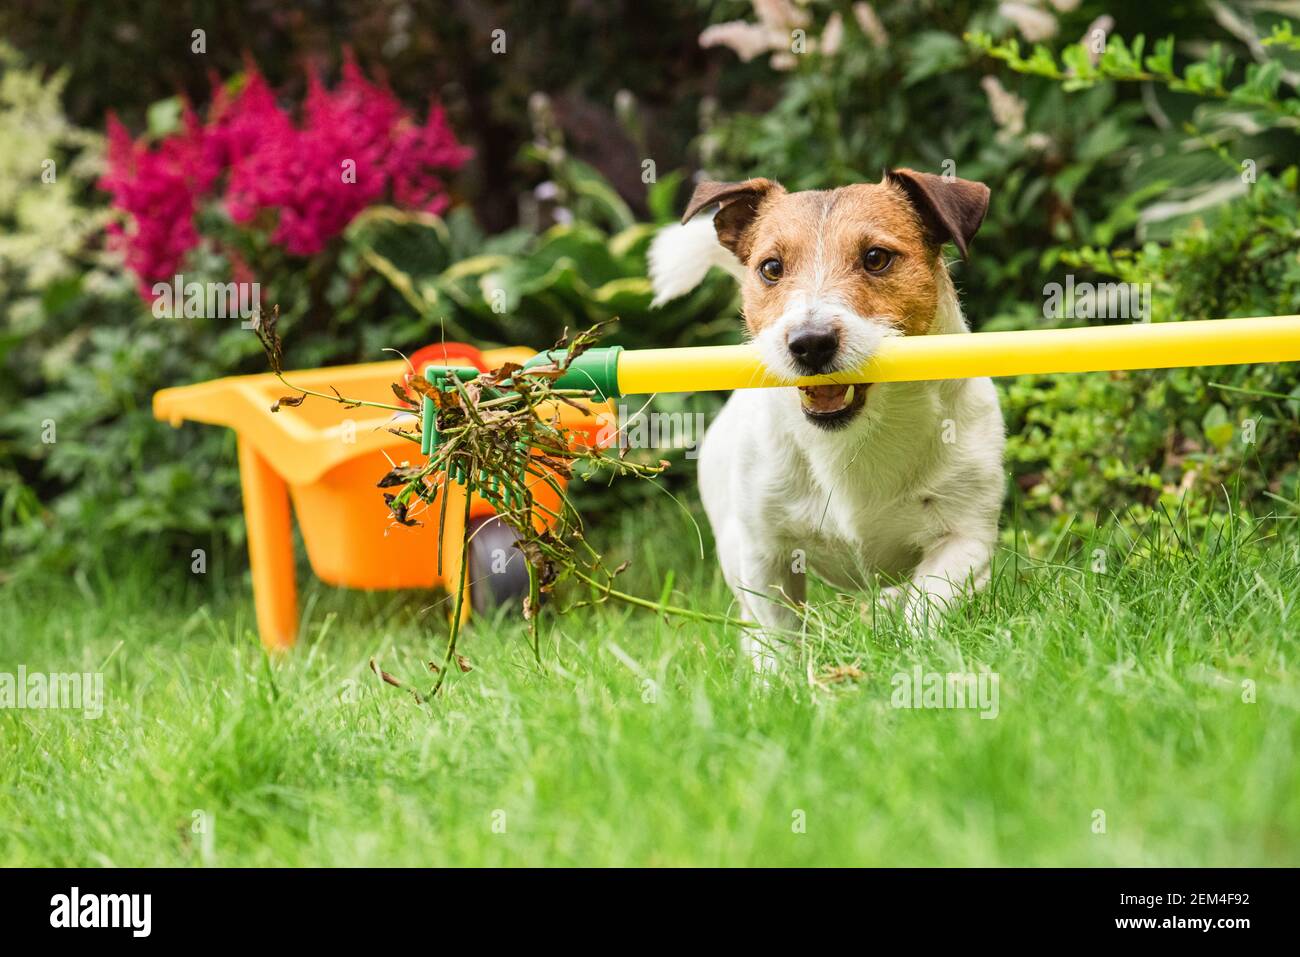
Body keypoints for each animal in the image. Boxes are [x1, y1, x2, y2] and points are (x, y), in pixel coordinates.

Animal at [650, 167, 1003, 670]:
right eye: (771, 268)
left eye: (876, 258)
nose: (810, 342)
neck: (854, 439)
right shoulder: (764, 555)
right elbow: (778, 634)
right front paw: (780, 680)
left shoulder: (963, 538)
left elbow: (925, 607)